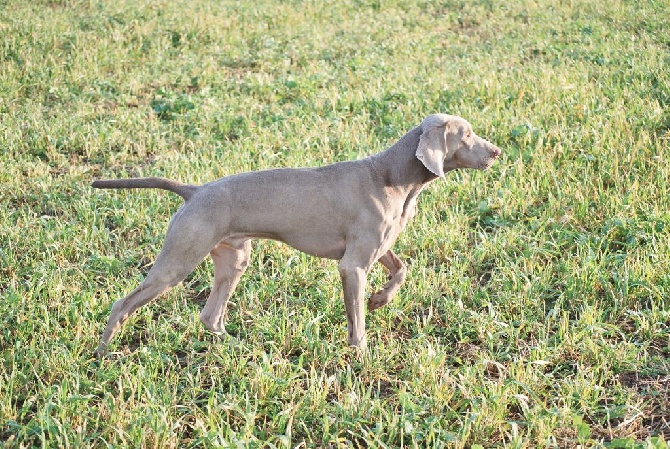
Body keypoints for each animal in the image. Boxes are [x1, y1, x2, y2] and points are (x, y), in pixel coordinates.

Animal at [93, 114, 504, 356]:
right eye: (467, 135)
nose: (497, 151)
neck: (395, 176)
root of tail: (194, 191)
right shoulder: (353, 265)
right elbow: (357, 322)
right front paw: (361, 355)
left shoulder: (378, 248)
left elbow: (402, 269)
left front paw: (380, 299)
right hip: (179, 259)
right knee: (122, 304)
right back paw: (103, 353)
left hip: (234, 259)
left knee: (210, 315)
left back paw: (237, 346)